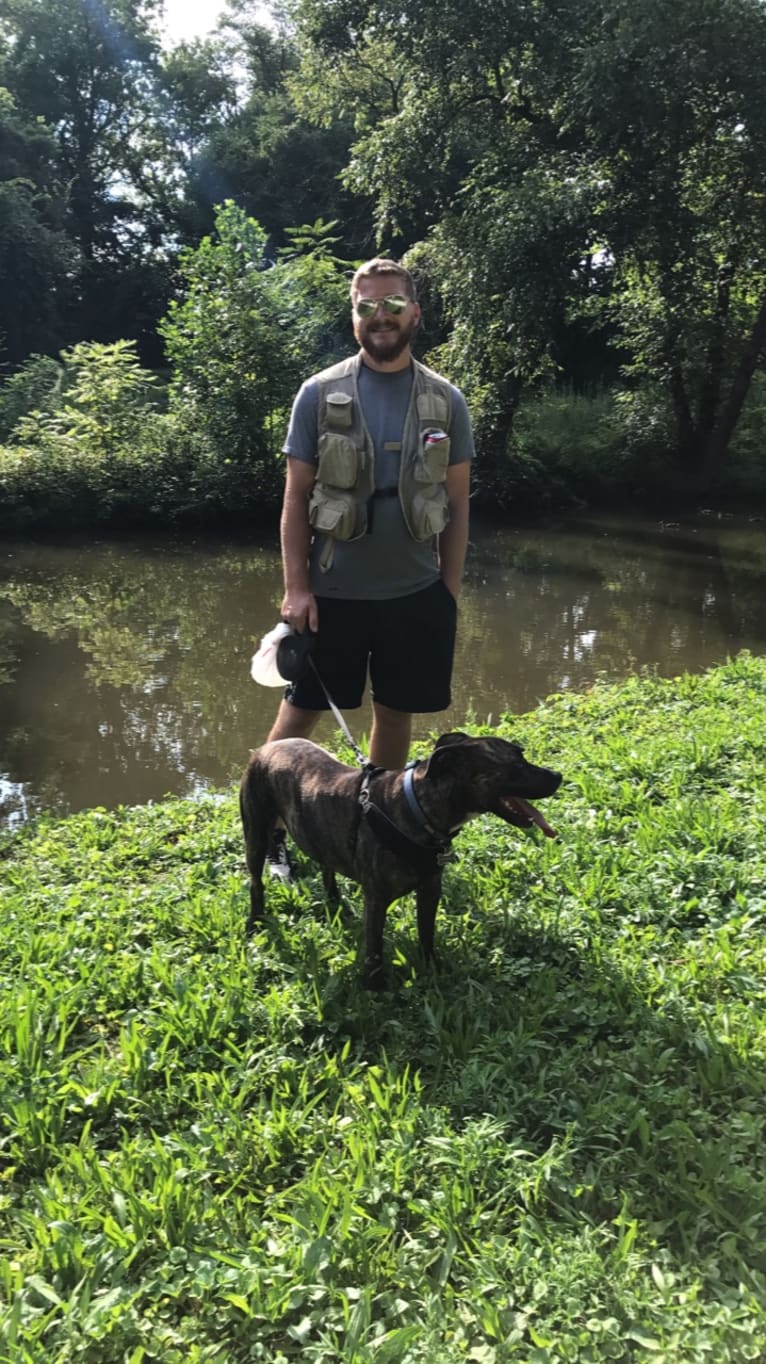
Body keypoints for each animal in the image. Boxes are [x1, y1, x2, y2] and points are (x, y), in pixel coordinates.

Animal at [239, 731, 561, 987]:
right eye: (515, 765)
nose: (558, 776)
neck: (419, 807)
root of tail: (268, 746)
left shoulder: (431, 889)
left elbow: (426, 932)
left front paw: (432, 966)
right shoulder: (377, 899)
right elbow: (374, 947)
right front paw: (375, 986)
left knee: (327, 867)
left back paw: (336, 904)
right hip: (255, 833)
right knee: (256, 882)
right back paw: (255, 922)